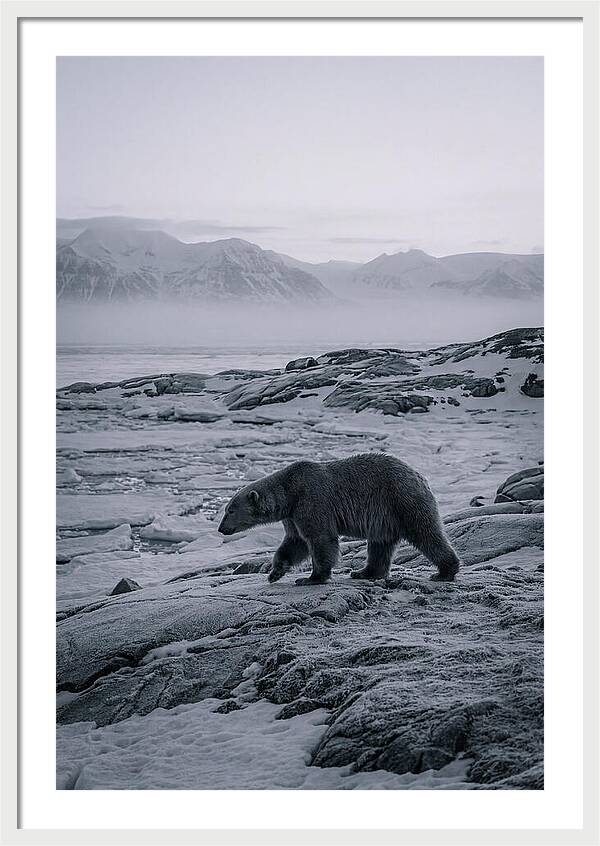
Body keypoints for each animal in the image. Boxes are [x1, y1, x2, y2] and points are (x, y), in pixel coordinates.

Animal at [218, 453, 460, 586]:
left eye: (230, 510)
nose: (221, 529)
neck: (290, 491)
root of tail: (419, 476)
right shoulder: (293, 515)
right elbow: (295, 542)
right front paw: (275, 572)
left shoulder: (311, 500)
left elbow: (320, 538)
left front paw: (311, 578)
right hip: (385, 516)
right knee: (380, 545)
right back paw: (364, 572)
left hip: (402, 499)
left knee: (425, 533)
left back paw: (445, 571)